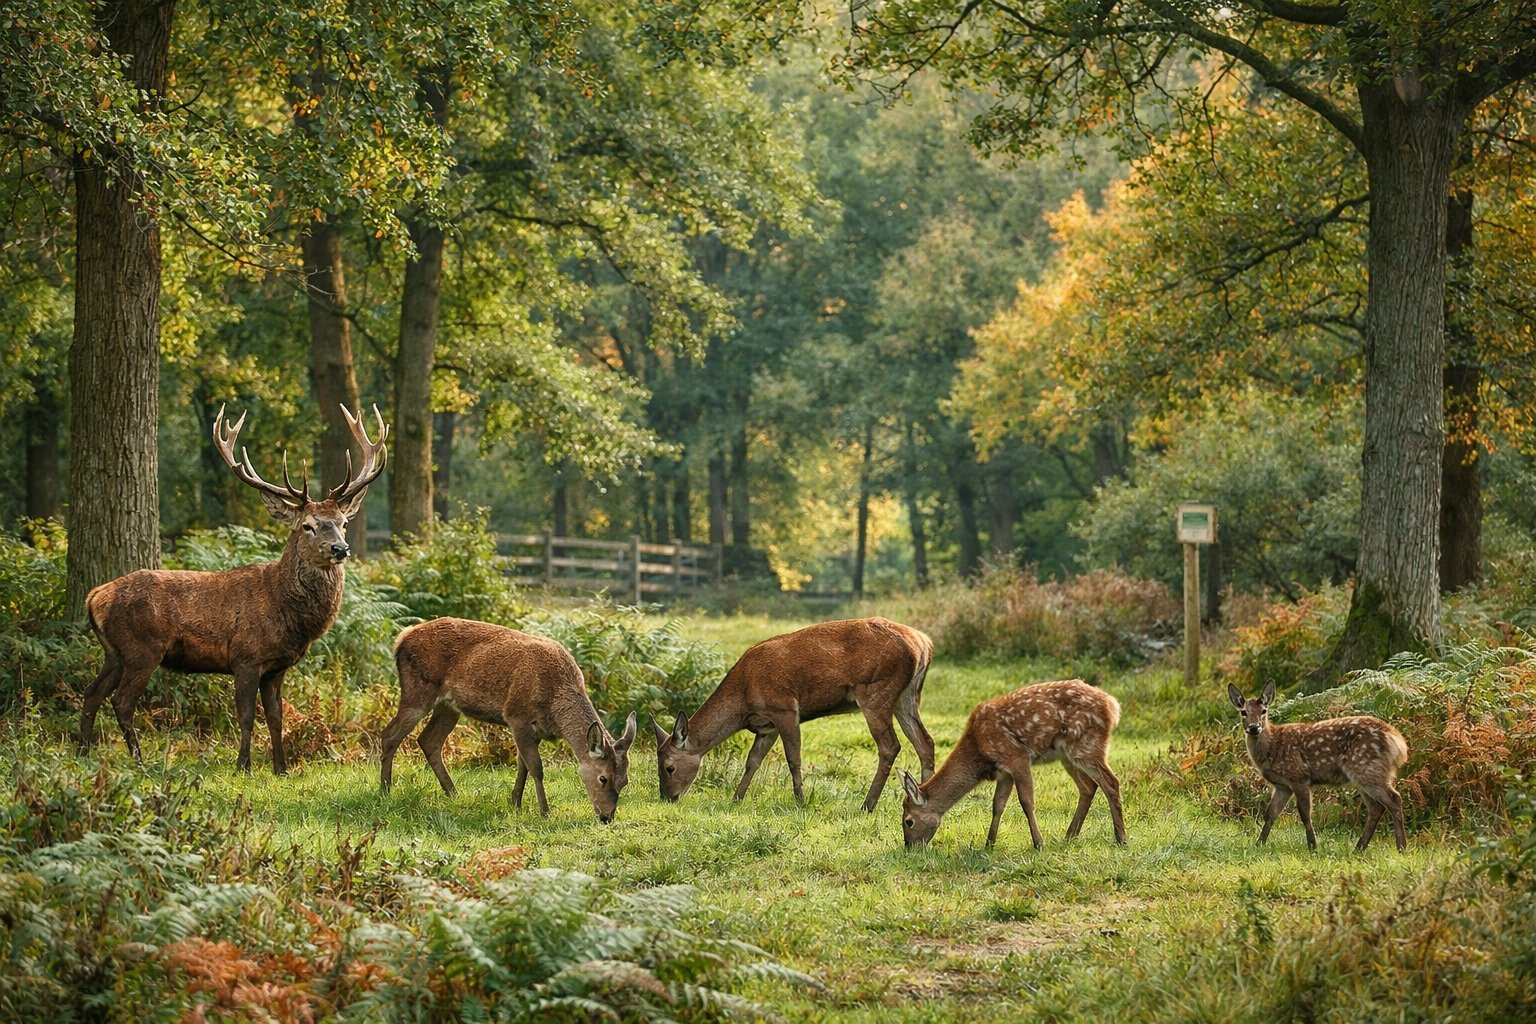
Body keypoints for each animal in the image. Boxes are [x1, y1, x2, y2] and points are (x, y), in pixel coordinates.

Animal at [78, 403, 387, 775]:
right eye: (308, 526)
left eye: (343, 523)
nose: (340, 548)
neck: (285, 610)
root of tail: (95, 596)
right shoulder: (246, 657)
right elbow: (246, 717)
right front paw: (244, 766)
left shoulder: (276, 668)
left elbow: (276, 718)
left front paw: (281, 769)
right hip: (142, 648)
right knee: (122, 701)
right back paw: (138, 763)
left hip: (114, 652)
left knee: (91, 693)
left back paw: (82, 753)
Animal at [381, 617, 639, 823]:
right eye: (603, 778)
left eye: (625, 781)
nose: (606, 817)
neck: (555, 704)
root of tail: (401, 639)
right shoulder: (517, 716)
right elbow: (536, 767)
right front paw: (544, 812)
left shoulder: (536, 730)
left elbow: (522, 764)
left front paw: (515, 802)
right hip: (418, 691)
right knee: (390, 734)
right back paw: (385, 790)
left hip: (448, 706)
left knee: (429, 740)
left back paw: (453, 793)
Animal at [652, 617, 935, 812]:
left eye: (669, 767)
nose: (668, 797)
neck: (743, 701)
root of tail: (924, 643)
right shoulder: (767, 726)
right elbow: (752, 761)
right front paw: (736, 798)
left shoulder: (784, 708)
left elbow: (793, 758)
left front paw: (800, 800)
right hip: (907, 696)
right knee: (925, 742)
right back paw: (924, 795)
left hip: (876, 691)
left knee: (890, 745)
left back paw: (867, 804)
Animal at [899, 679, 1127, 850]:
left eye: (909, 820)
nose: (909, 846)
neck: (978, 749)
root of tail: (1113, 705)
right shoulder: (1004, 771)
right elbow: (997, 805)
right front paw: (989, 844)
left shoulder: (1017, 757)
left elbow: (1026, 801)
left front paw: (1038, 843)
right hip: (1068, 755)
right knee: (1088, 787)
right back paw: (1070, 835)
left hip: (1087, 744)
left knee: (1111, 782)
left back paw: (1121, 839)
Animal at [1228, 682, 1409, 852]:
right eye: (1243, 712)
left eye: (1264, 710)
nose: (1254, 727)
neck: (1272, 748)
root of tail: (1398, 741)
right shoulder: (1283, 786)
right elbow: (1270, 813)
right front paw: (1258, 844)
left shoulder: (1299, 777)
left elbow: (1305, 814)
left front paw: (1313, 847)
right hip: (1365, 774)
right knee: (1376, 808)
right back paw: (1359, 848)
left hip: (1367, 768)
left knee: (1394, 799)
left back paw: (1401, 847)